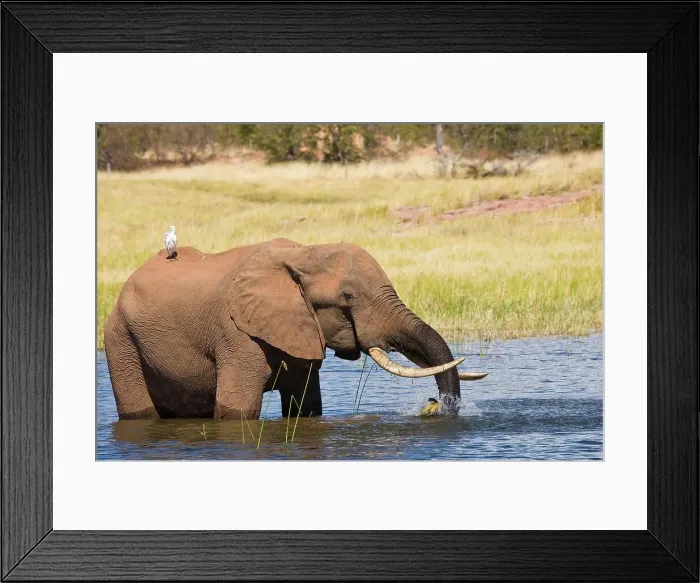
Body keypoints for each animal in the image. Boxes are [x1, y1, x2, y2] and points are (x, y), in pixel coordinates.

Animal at [104, 238, 487, 420]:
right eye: (347, 297)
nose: (438, 404)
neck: (304, 253)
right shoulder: (236, 334)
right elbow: (237, 409)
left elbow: (305, 406)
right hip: (119, 340)